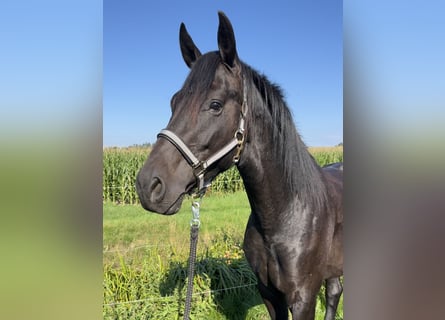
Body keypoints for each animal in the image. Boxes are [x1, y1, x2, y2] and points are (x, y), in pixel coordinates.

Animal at [137, 12, 342, 320]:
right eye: (174, 101)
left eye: (215, 105)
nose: (148, 185)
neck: (286, 216)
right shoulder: (269, 294)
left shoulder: (303, 299)